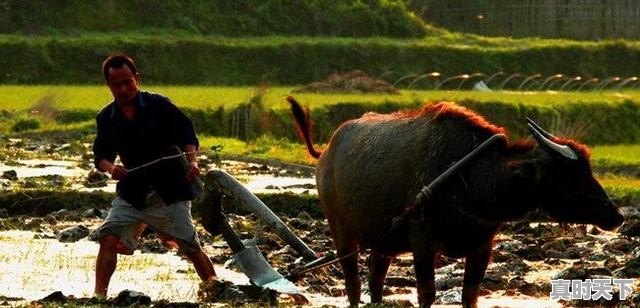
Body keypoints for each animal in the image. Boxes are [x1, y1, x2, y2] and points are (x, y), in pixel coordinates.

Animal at [286, 97, 624, 308]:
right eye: (571, 175)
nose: (616, 215)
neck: (472, 181)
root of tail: (326, 152)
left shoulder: (483, 246)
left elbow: (469, 295)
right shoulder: (422, 243)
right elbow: (427, 294)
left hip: (383, 242)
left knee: (375, 282)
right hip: (342, 234)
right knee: (353, 284)